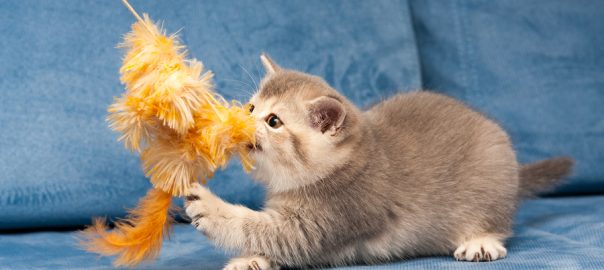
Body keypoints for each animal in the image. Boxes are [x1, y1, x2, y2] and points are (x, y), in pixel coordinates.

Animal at [184, 53, 572, 268]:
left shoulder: (331, 220)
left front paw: (212, 209)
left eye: (274, 121)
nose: (243, 121)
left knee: (498, 222)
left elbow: (267, 231)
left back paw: (482, 240)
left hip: (494, 175)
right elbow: (266, 236)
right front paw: (250, 259)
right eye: (252, 107)